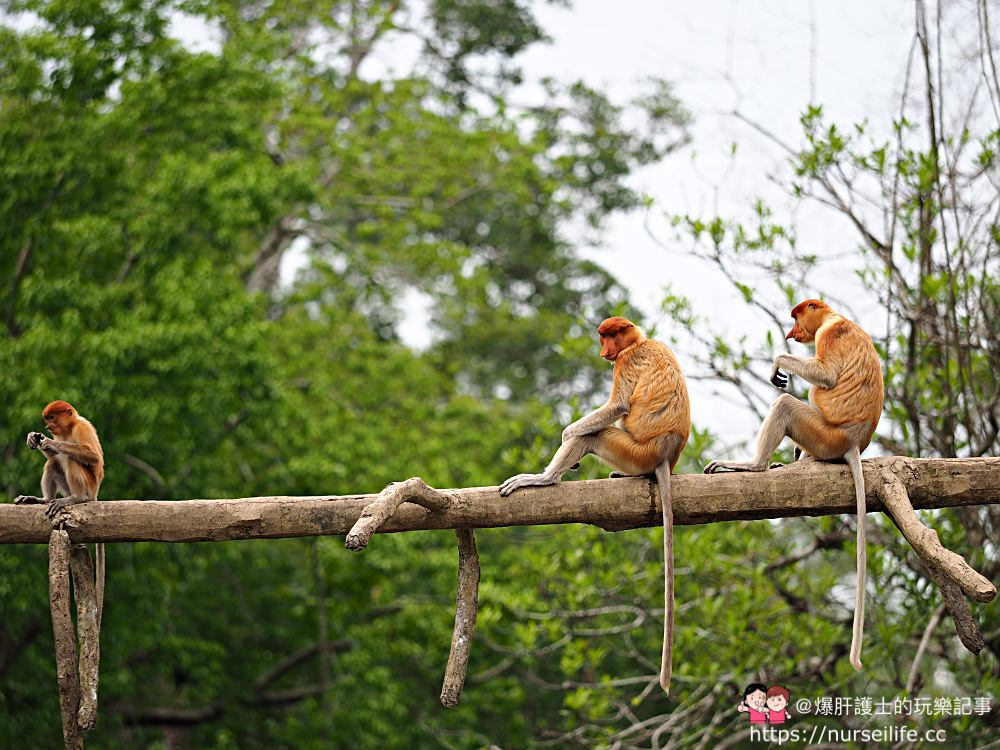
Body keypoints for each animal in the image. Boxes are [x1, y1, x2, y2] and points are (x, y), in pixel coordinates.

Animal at [498, 316, 688, 692]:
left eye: (610, 336)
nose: (604, 352)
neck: (638, 341)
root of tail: (665, 456)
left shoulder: (625, 362)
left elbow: (617, 406)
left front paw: (566, 434)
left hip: (632, 450)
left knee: (596, 435)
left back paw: (545, 477)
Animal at [704, 302, 884, 676]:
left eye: (796, 316)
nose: (792, 332)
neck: (834, 316)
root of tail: (853, 444)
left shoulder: (828, 334)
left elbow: (827, 377)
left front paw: (778, 365)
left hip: (824, 434)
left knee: (785, 405)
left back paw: (755, 465)